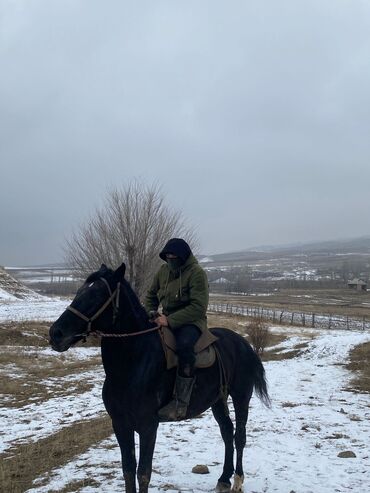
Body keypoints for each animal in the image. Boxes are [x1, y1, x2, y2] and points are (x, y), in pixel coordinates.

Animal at [49, 266, 268, 492]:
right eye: (79, 292)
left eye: (97, 295)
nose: (56, 333)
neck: (132, 364)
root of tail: (244, 344)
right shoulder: (120, 424)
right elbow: (128, 470)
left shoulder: (148, 426)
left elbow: (143, 473)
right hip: (217, 399)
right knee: (226, 431)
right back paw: (224, 478)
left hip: (241, 396)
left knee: (239, 436)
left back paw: (238, 480)